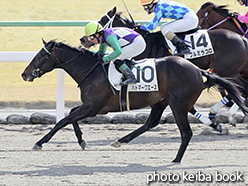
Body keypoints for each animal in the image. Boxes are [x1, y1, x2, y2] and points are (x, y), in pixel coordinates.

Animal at [21, 39, 248, 163]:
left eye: (40, 55)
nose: (24, 74)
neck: (91, 70)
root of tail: (196, 69)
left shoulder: (93, 107)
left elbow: (62, 120)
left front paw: (39, 142)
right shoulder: (93, 107)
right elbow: (69, 115)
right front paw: (81, 140)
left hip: (178, 105)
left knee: (186, 132)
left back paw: (176, 159)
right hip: (161, 101)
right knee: (151, 123)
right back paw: (120, 140)